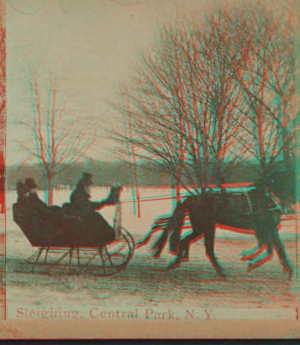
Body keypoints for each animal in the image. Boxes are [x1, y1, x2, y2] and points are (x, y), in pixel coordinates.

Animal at [137, 183, 294, 276]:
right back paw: (221, 271)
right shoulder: (267, 228)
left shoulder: (266, 229)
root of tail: (194, 197)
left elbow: (273, 247)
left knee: (184, 240)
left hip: (200, 228)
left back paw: (176, 261)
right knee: (208, 248)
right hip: (207, 227)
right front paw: (251, 260)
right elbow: (273, 248)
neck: (265, 201)